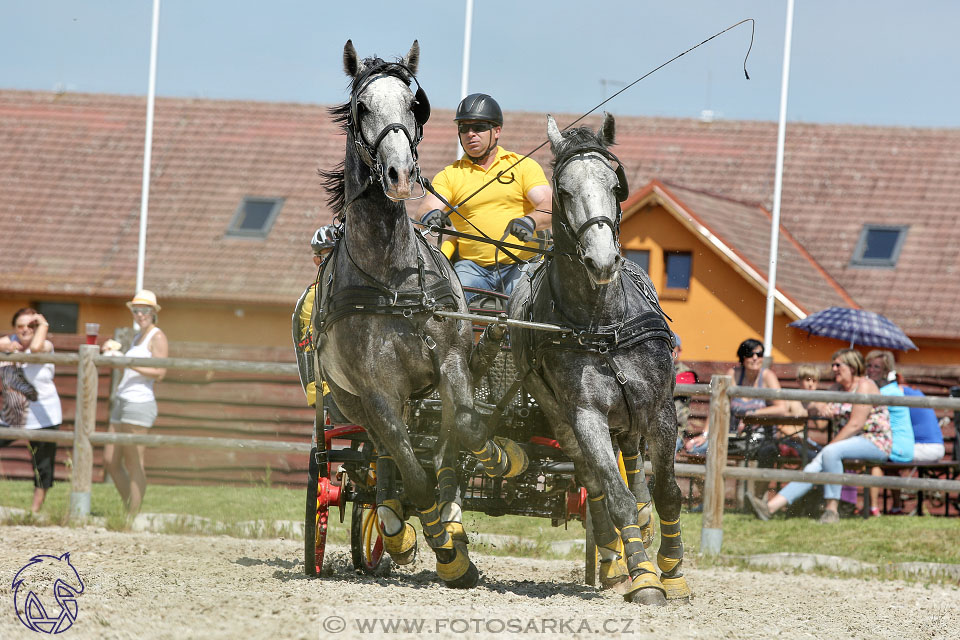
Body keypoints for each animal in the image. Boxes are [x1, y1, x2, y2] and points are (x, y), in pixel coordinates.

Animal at [314, 38, 524, 592]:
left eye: (413, 104)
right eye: (362, 108)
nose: (401, 174)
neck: (394, 283)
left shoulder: (450, 363)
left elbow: (466, 431)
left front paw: (496, 460)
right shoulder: (377, 391)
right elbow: (414, 473)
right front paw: (439, 546)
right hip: (354, 402)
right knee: (387, 455)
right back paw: (398, 526)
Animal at [510, 114, 688, 604]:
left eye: (615, 184)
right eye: (565, 190)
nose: (603, 259)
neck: (603, 325)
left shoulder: (661, 409)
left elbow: (667, 491)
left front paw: (672, 571)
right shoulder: (585, 415)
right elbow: (613, 492)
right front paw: (644, 577)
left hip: (633, 415)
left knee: (634, 464)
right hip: (561, 417)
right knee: (594, 482)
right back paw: (613, 560)